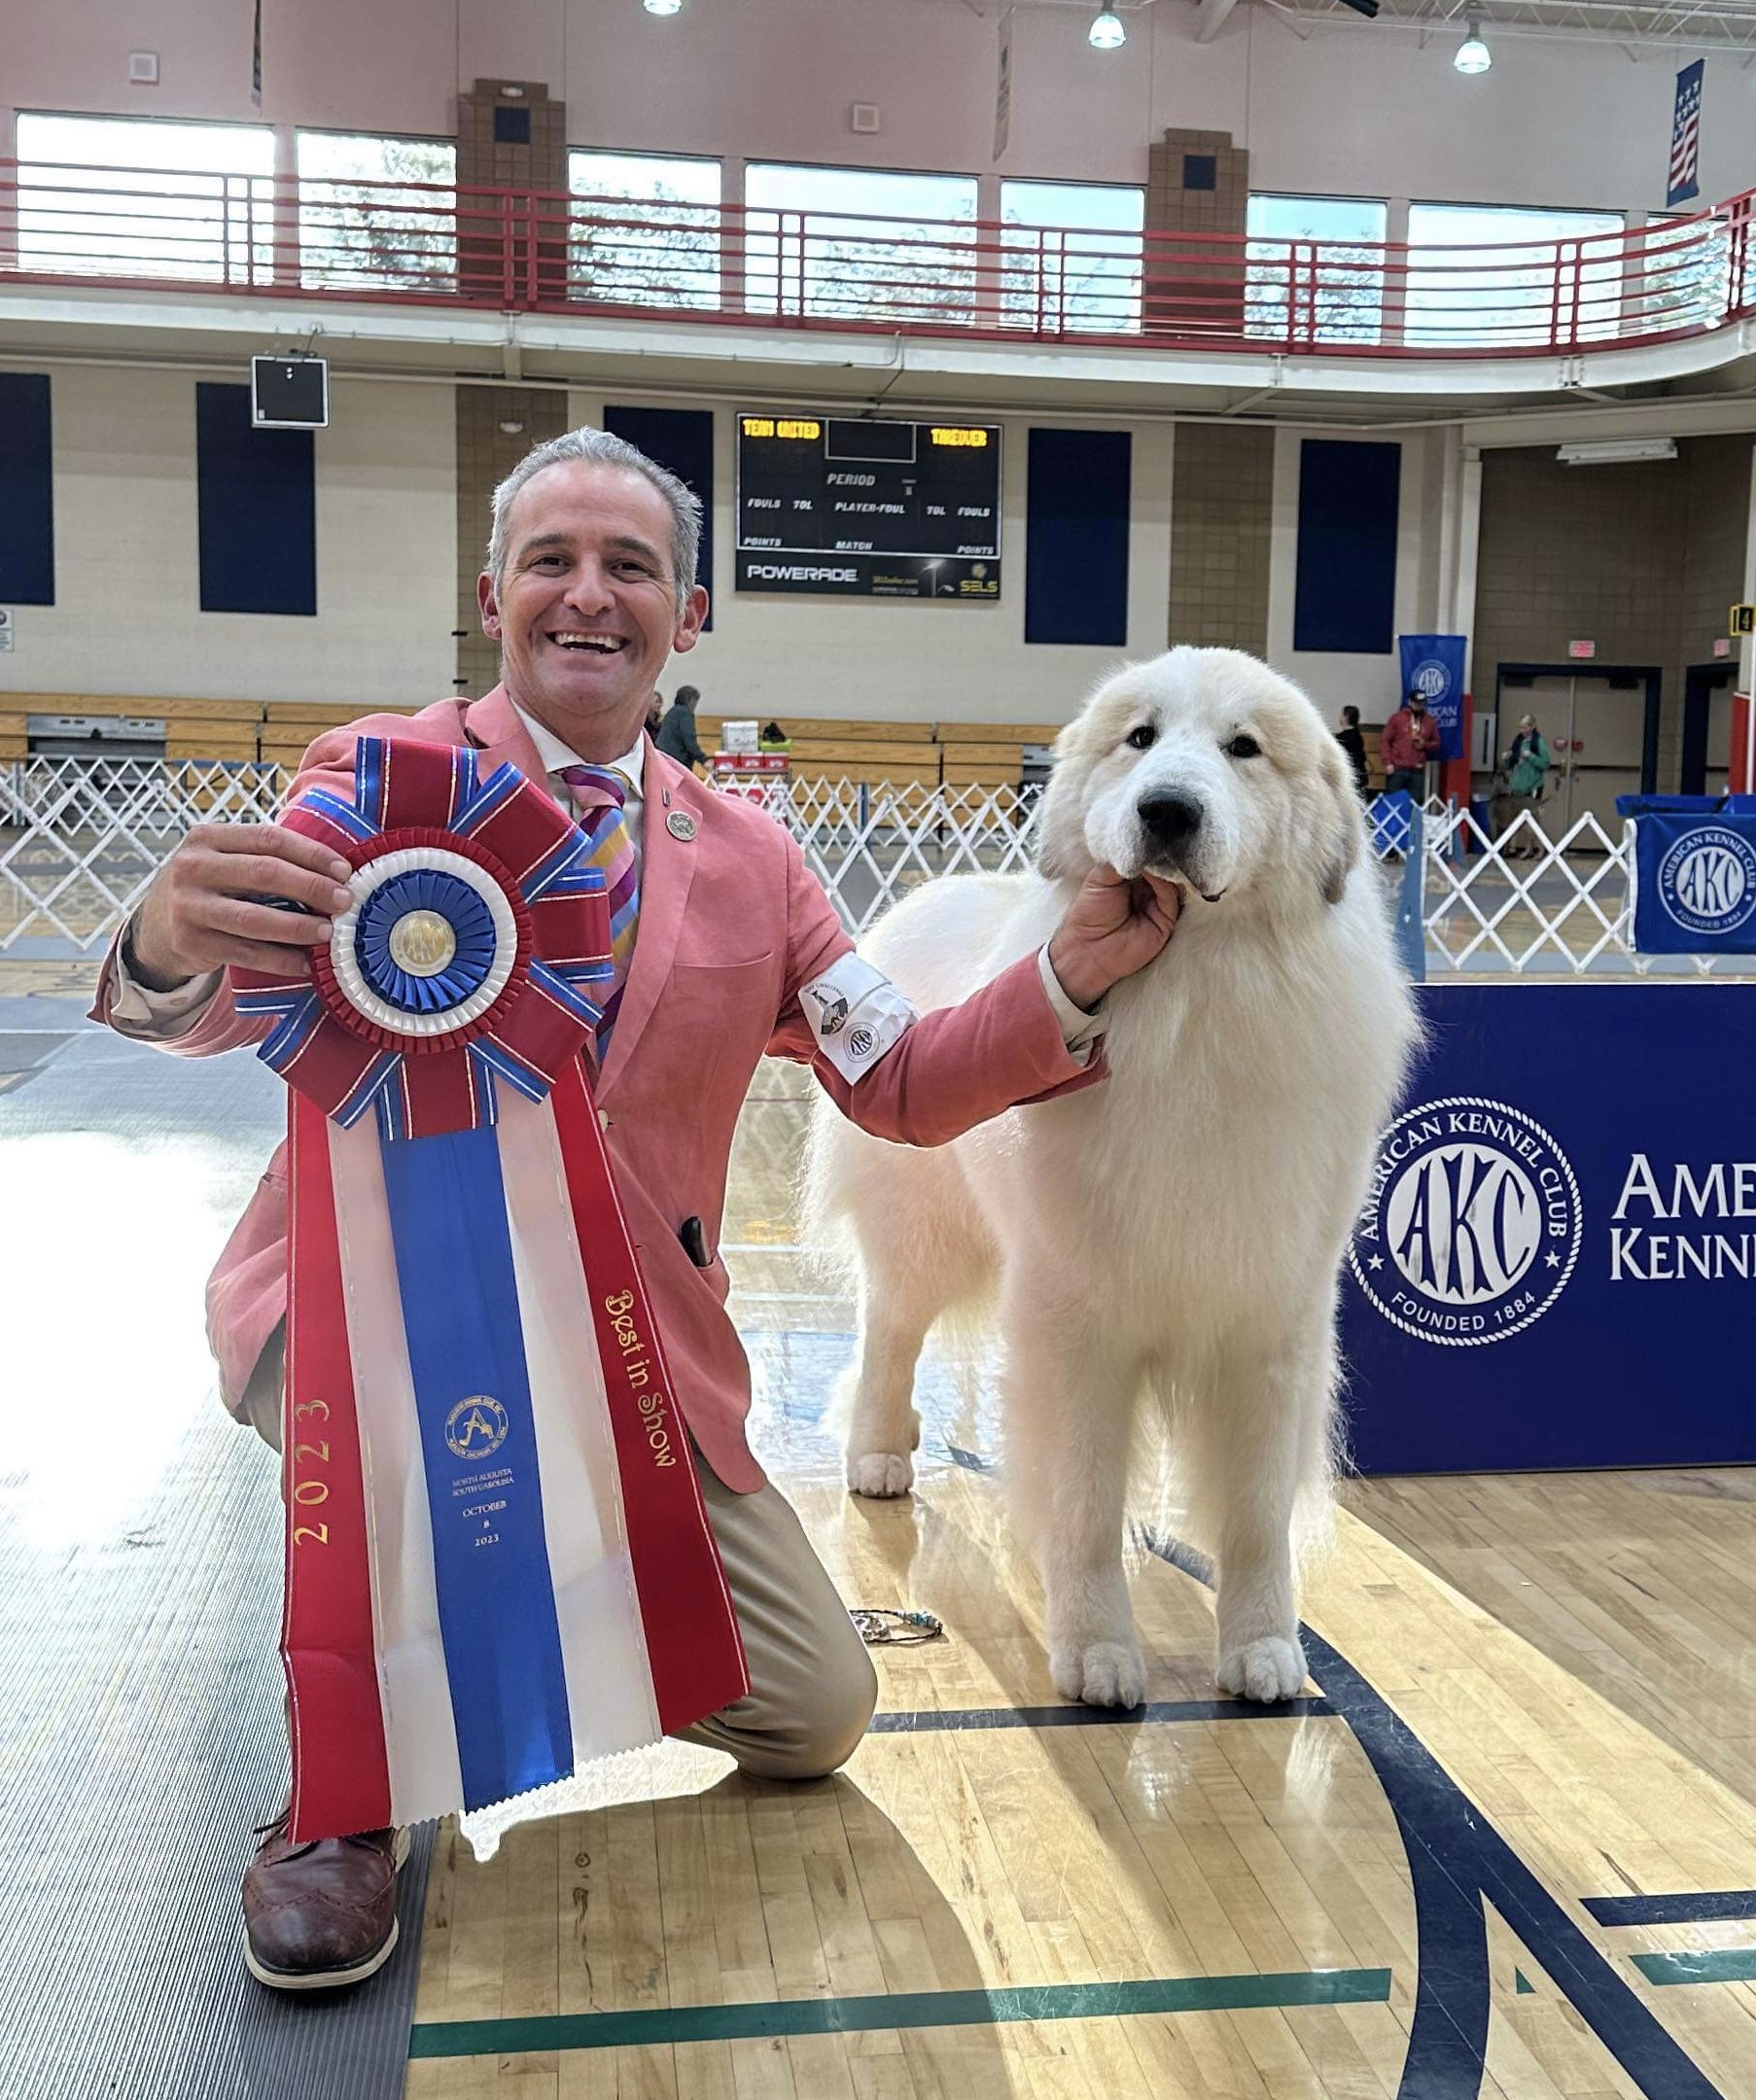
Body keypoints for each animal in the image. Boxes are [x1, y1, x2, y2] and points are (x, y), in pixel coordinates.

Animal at [805, 647, 1418, 1707]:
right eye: (1140, 737)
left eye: (1244, 748)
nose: (1167, 810)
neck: (1195, 996)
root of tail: (918, 900)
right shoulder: (1079, 1320)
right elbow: (1086, 1503)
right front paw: (1096, 1651)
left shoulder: (1271, 1323)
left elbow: (1255, 1513)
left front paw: (1263, 1649)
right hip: (925, 1237)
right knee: (889, 1335)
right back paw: (880, 1453)